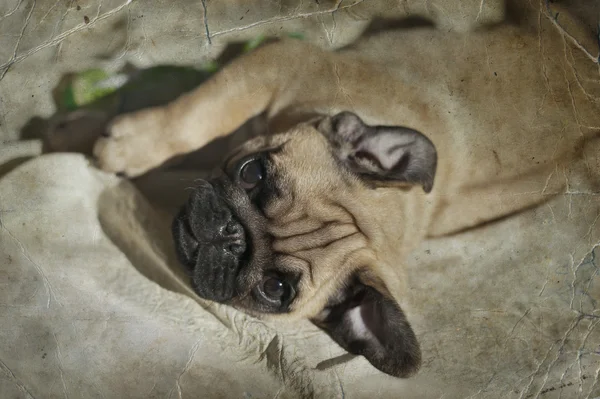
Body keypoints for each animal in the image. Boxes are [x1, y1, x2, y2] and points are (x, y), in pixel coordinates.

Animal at [91, 10, 596, 378]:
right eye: (253, 173)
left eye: (275, 290)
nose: (230, 236)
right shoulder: (281, 62)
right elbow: (198, 115)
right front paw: (133, 144)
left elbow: (201, 117)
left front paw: (125, 145)